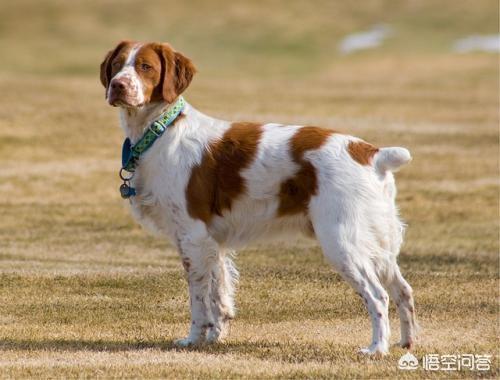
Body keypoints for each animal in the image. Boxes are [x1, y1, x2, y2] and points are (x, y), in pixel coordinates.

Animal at [99, 40, 416, 354]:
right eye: (117, 65)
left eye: (145, 67)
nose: (117, 86)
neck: (161, 131)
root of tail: (372, 153)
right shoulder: (213, 242)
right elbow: (219, 294)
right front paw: (215, 337)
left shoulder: (193, 236)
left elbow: (199, 299)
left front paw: (193, 339)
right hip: (378, 243)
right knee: (403, 290)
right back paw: (406, 343)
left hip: (342, 241)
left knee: (378, 295)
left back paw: (377, 348)